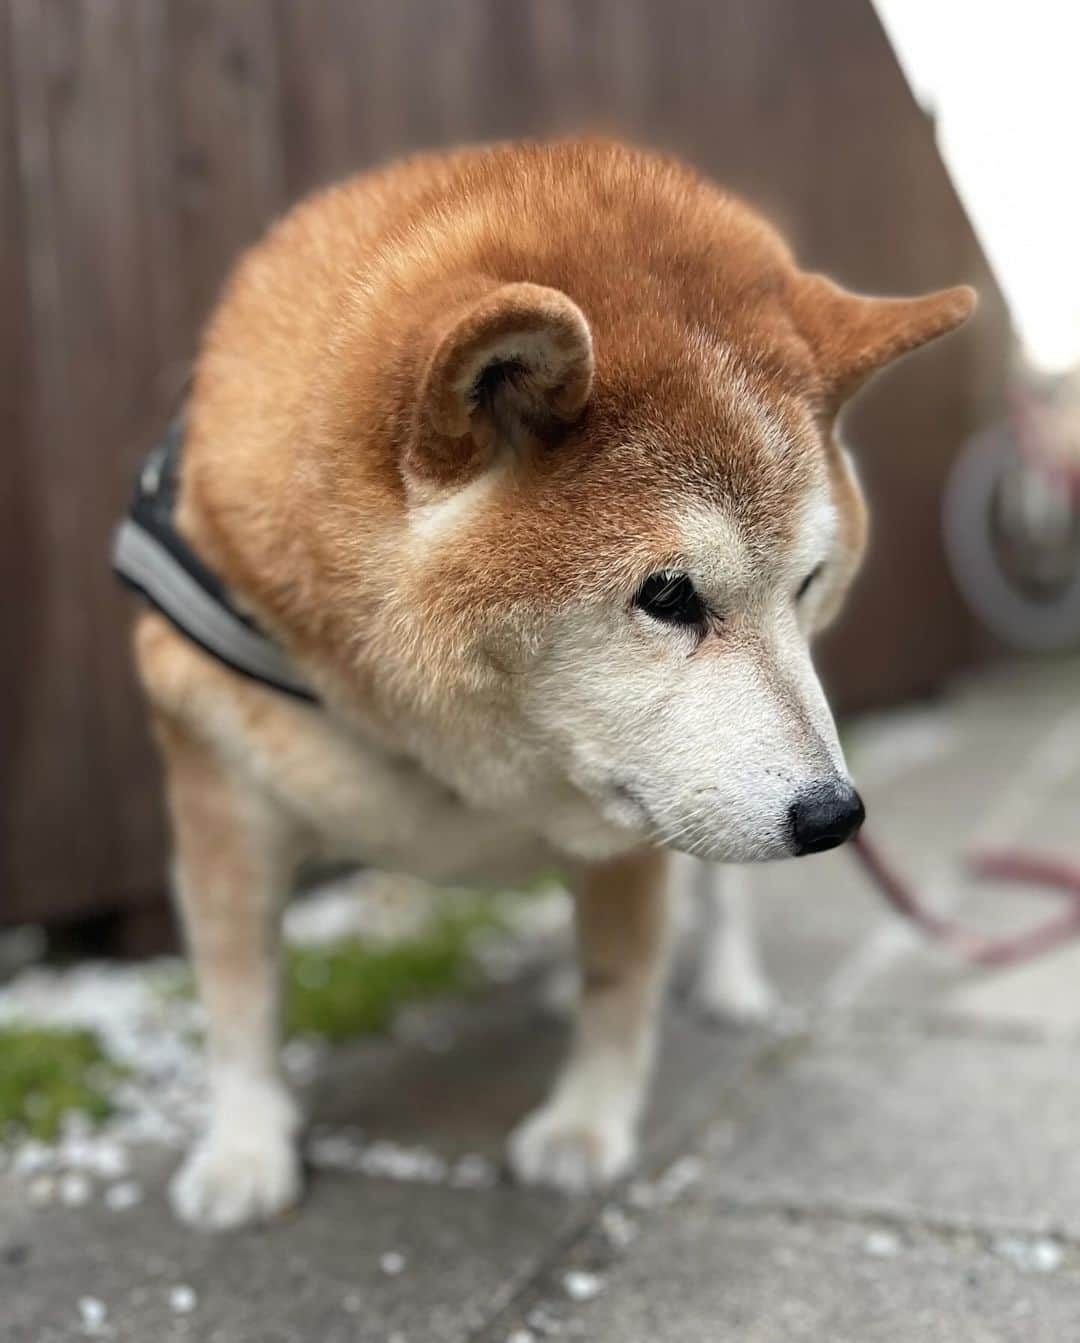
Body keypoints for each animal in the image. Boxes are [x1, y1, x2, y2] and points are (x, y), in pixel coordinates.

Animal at [126, 136, 972, 1230]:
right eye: (668, 594)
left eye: (809, 582)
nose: (836, 815)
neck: (449, 748)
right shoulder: (218, 789)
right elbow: (236, 994)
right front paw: (242, 1147)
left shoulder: (636, 823)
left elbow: (621, 978)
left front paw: (584, 1128)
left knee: (717, 896)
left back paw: (729, 981)